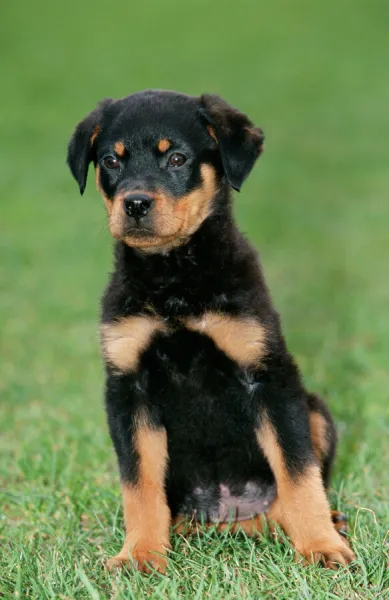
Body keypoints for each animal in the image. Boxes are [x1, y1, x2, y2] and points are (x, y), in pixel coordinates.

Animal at [67, 89, 354, 572]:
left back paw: (322, 523)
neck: (174, 280)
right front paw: (140, 554)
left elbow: (297, 469)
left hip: (315, 409)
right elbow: (138, 483)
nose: (135, 204)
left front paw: (321, 546)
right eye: (110, 161)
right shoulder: (128, 387)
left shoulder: (268, 375)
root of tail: (226, 514)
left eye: (177, 158)